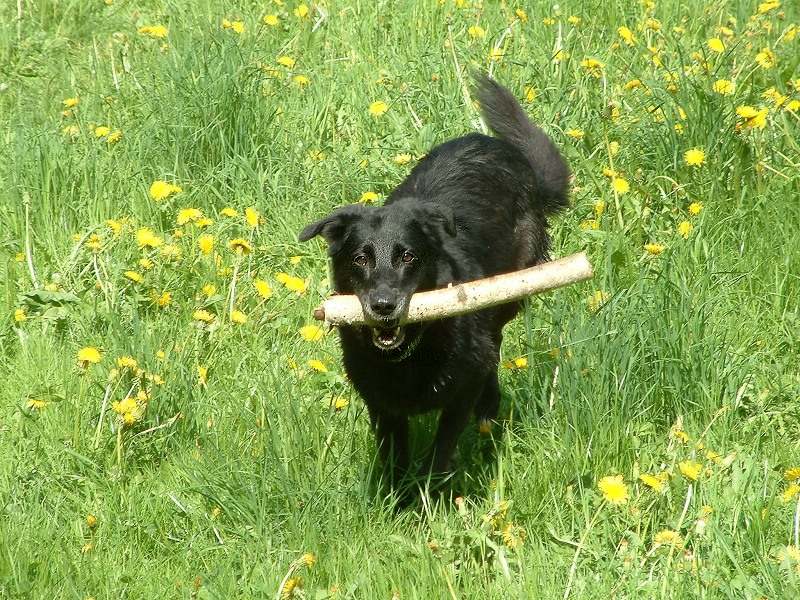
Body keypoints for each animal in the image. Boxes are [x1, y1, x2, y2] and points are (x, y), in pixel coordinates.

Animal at [300, 76, 568, 482]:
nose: (383, 306)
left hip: (507, 293)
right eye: (360, 258)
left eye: (408, 256)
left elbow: (441, 451)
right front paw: (397, 497)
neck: (405, 354)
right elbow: (394, 459)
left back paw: (489, 409)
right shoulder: (382, 405)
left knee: (495, 342)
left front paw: (430, 493)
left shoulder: (462, 390)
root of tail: (499, 146)